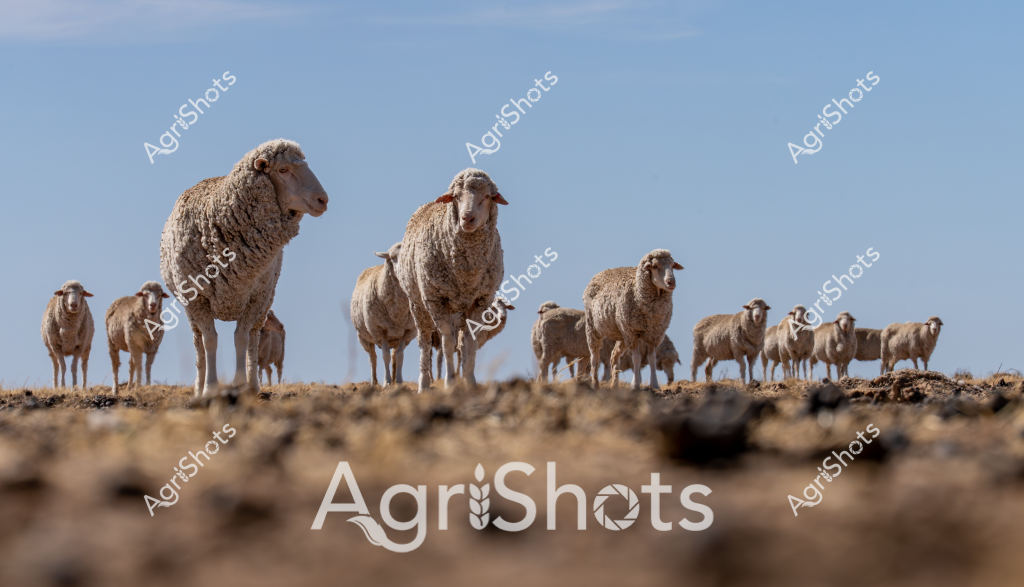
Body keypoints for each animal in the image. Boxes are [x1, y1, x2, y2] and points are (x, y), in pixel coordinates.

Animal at [159, 139, 328, 397]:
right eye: (283, 170)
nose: (323, 199)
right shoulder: (198, 299)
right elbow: (210, 340)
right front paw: (210, 388)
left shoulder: (254, 297)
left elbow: (241, 338)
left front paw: (239, 385)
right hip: (190, 307)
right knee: (198, 344)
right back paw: (198, 386)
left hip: (265, 300)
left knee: (253, 339)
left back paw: (252, 385)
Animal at [351, 243, 416, 386]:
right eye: (392, 257)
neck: (397, 313)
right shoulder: (380, 329)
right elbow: (385, 355)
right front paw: (386, 382)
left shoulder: (407, 331)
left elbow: (399, 355)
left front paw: (399, 381)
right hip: (364, 337)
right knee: (372, 357)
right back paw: (374, 382)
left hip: (397, 337)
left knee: (394, 355)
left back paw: (394, 378)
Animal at [396, 168, 508, 391]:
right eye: (456, 196)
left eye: (487, 196)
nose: (467, 218)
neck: (467, 272)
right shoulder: (437, 299)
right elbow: (447, 342)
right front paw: (449, 382)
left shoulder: (481, 299)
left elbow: (470, 343)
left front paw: (470, 381)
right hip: (418, 304)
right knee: (425, 342)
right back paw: (424, 384)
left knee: (461, 342)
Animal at [584, 249, 683, 390]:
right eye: (655, 266)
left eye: (672, 265)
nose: (671, 282)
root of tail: (600, 273)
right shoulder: (633, 333)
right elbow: (636, 358)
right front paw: (635, 385)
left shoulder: (653, 334)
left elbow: (652, 358)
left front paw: (654, 385)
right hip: (594, 327)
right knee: (594, 357)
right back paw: (595, 383)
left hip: (622, 334)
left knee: (614, 356)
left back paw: (614, 384)